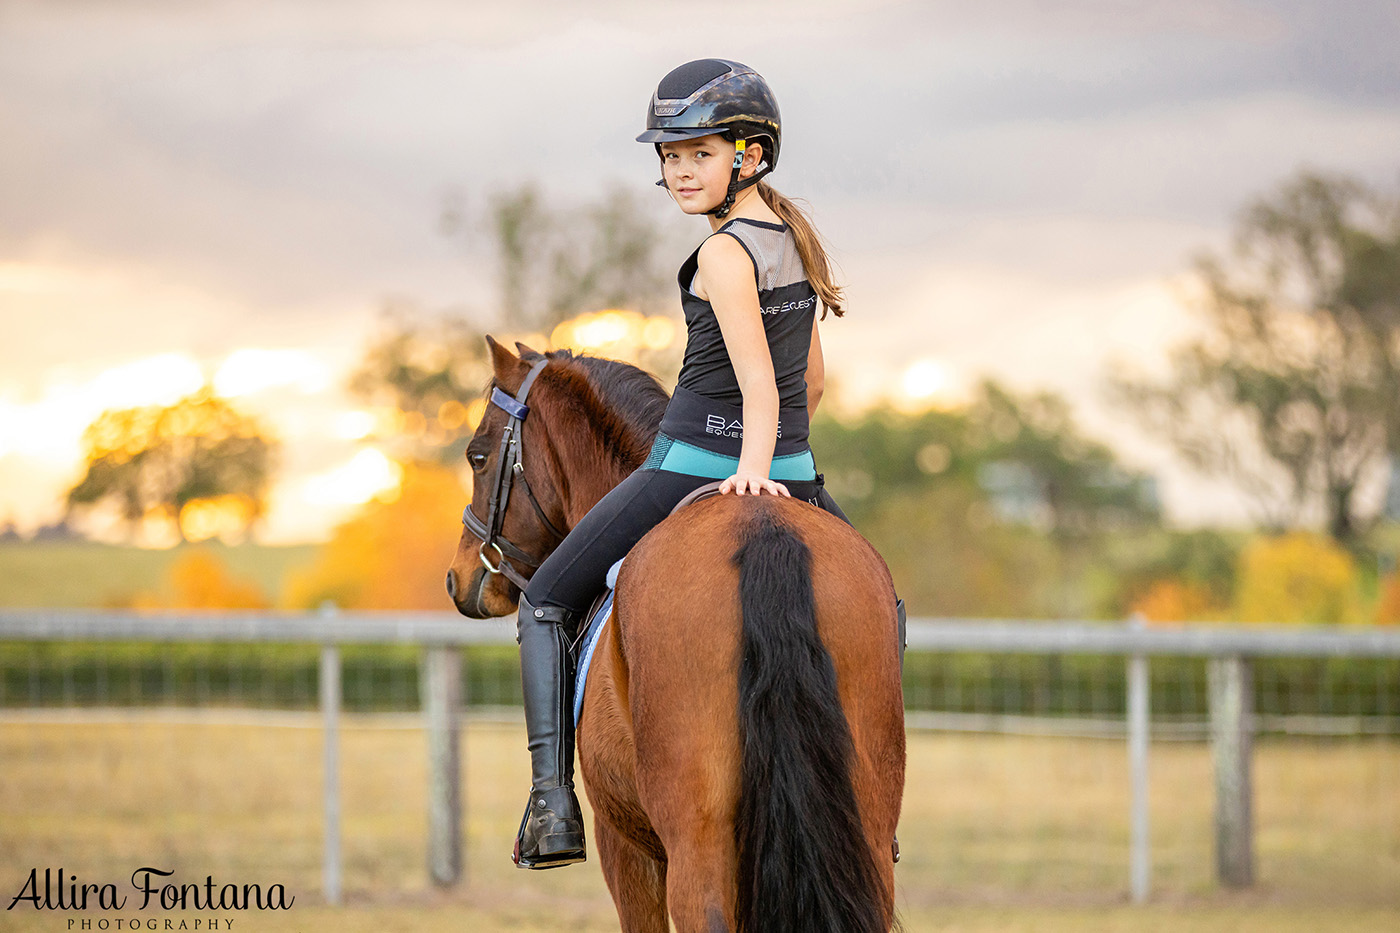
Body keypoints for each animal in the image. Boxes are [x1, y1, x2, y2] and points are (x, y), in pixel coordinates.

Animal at [448, 336, 907, 930]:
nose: (458, 578)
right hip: (865, 836)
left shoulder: (626, 848)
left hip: (695, 847)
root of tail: (761, 524)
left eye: (477, 456)